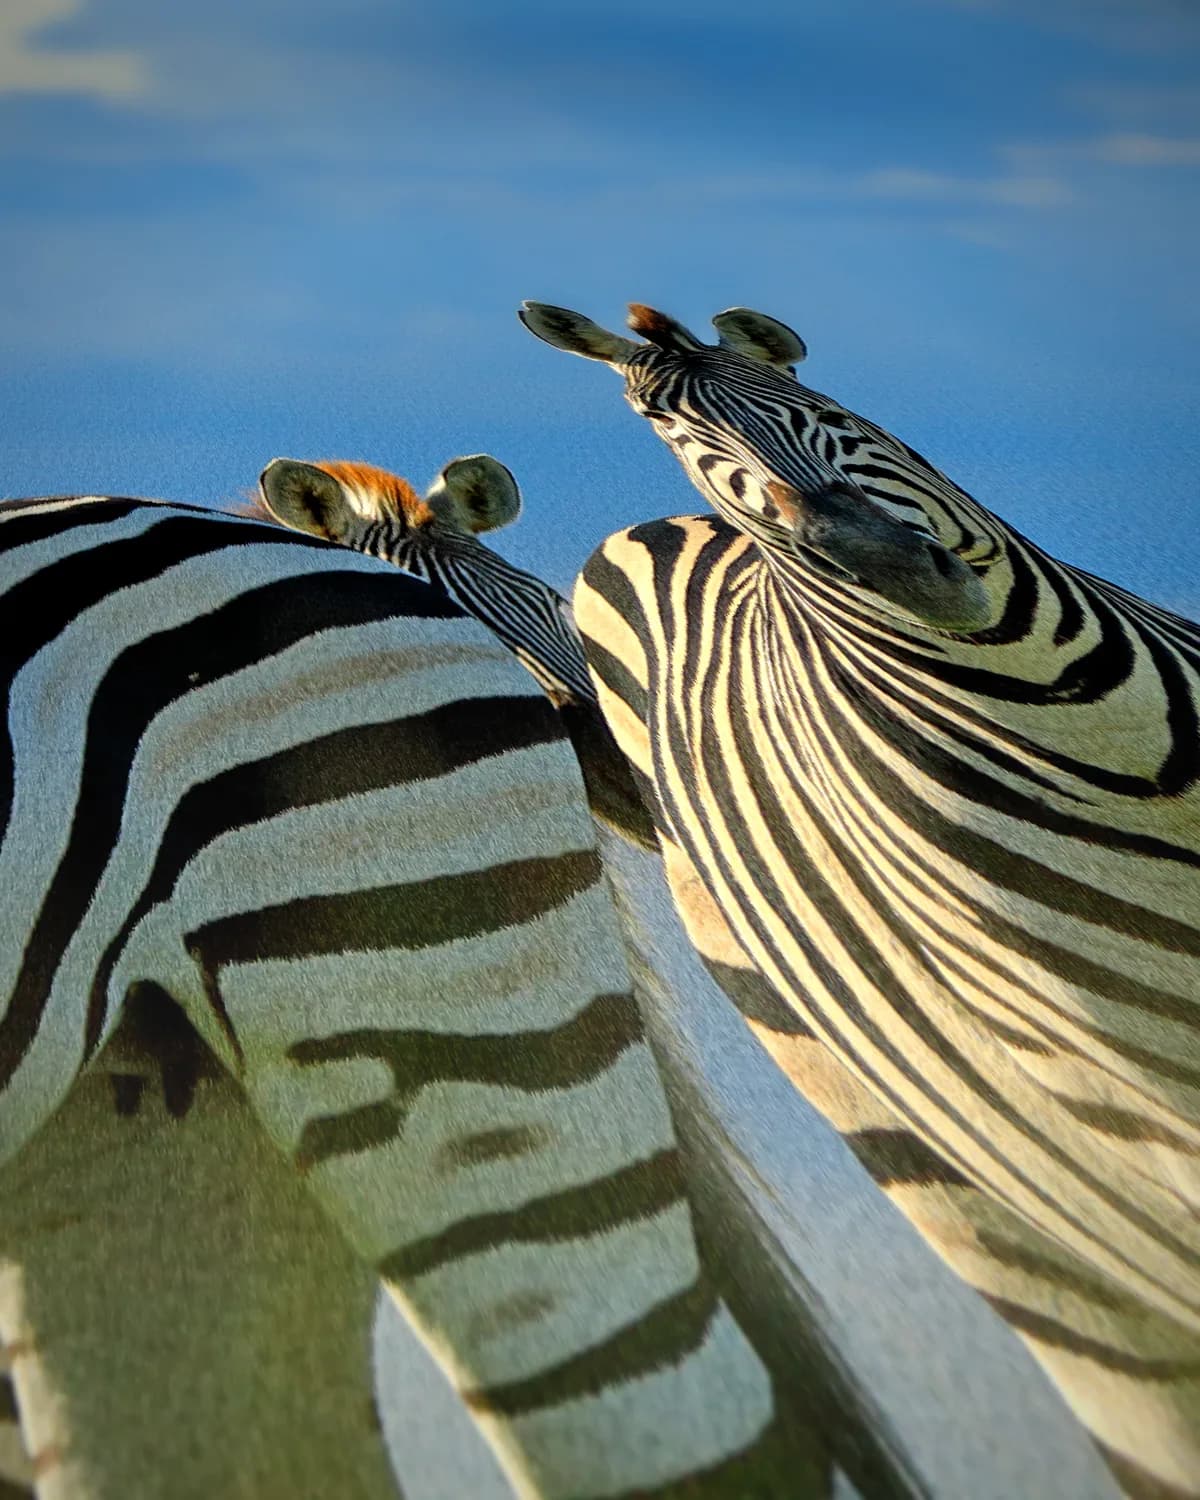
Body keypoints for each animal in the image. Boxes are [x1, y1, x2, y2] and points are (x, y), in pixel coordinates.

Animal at [519, 299, 1200, 1498]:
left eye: (813, 403)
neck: (1125, 759)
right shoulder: (1129, 1099)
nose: (888, 566)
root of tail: (638, 547)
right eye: (679, 440)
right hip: (970, 1198)